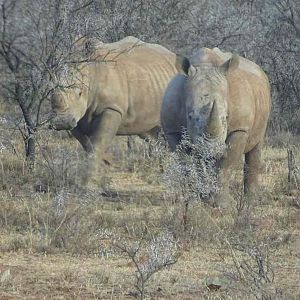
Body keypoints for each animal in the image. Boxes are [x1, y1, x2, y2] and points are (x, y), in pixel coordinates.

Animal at [49, 36, 180, 186]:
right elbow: (87, 144)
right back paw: (163, 173)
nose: (60, 122)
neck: (91, 72)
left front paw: (88, 184)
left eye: (80, 93)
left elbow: (98, 143)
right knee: (152, 135)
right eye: (49, 92)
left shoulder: (111, 107)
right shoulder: (75, 116)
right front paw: (105, 165)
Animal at [162, 47, 272, 206]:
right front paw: (193, 203)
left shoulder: (240, 128)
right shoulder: (172, 130)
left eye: (226, 117)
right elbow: (187, 165)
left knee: (256, 145)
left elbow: (226, 166)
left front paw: (222, 205)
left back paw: (250, 201)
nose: (212, 149)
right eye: (190, 117)